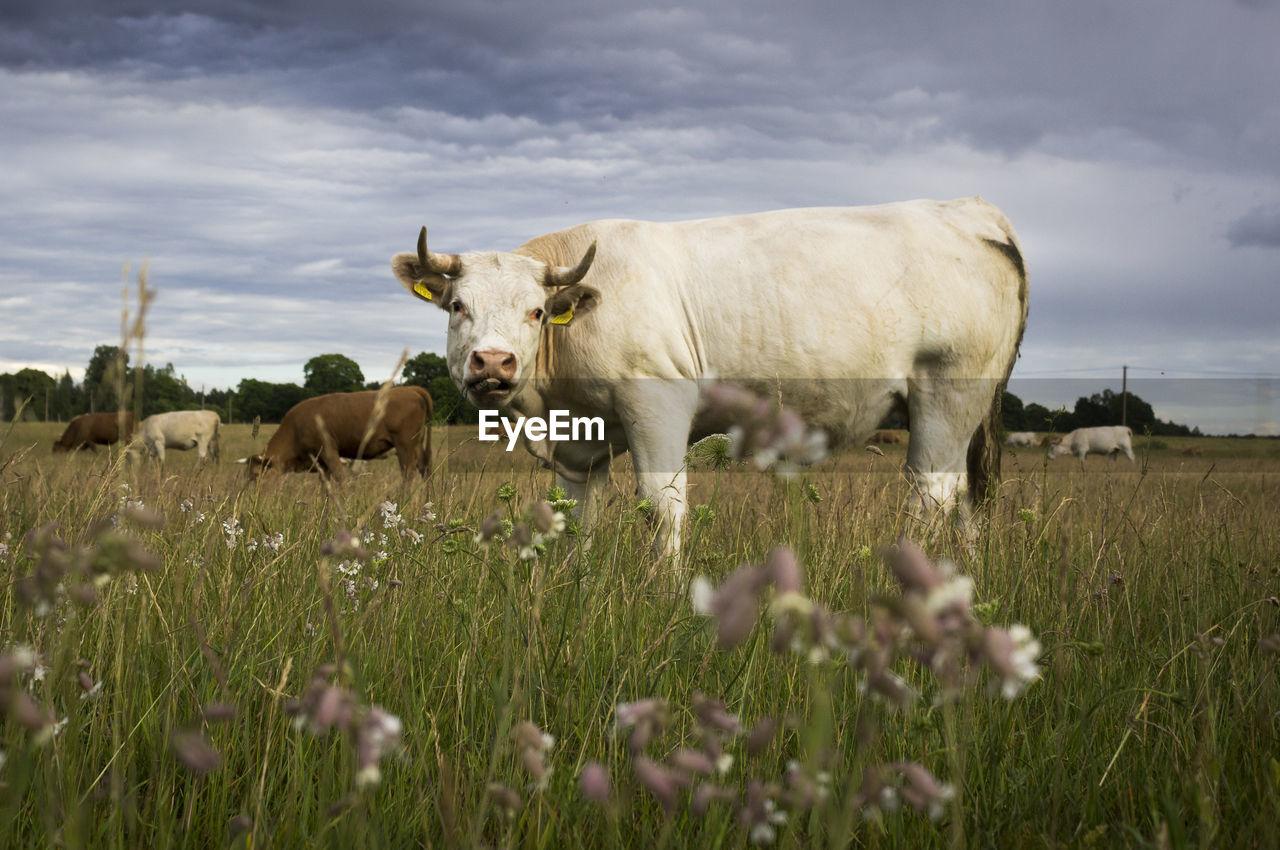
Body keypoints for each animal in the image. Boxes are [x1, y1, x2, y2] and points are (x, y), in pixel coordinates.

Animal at [241, 389, 432, 481]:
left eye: (256, 476)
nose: (255, 499)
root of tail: (411, 390)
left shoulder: (328, 451)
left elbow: (340, 479)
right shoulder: (321, 463)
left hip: (405, 445)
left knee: (408, 474)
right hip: (416, 445)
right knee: (425, 469)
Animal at [389, 195, 1029, 560]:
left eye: (536, 311)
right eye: (457, 306)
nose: (494, 363)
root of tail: (969, 208)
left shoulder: (656, 403)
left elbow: (662, 506)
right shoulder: (580, 442)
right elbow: (576, 517)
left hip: (947, 394)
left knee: (931, 498)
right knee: (966, 504)